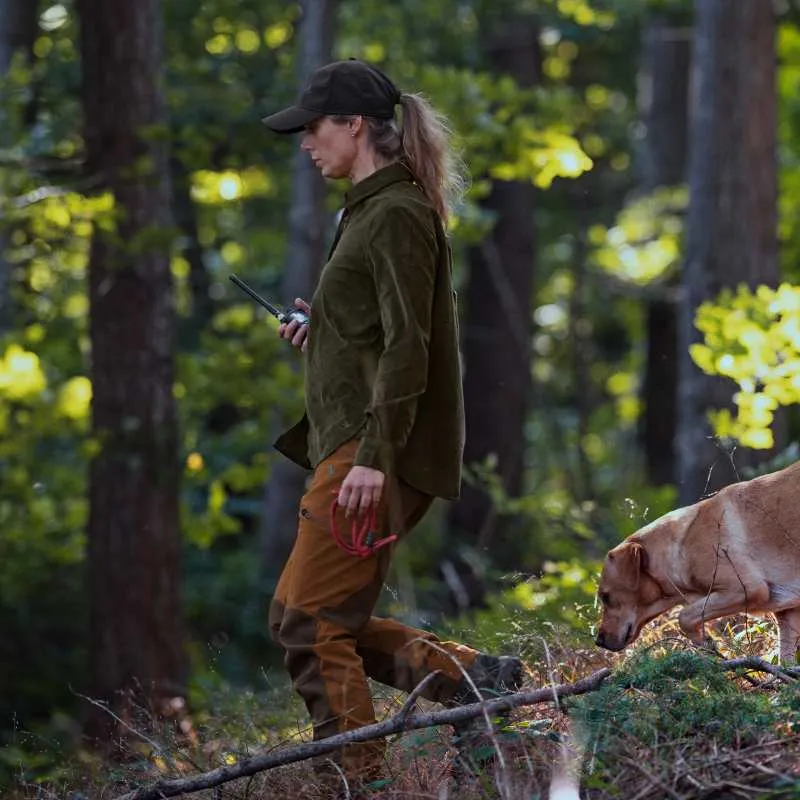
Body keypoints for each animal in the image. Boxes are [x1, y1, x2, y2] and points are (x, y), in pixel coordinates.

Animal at [596, 460, 800, 660]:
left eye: (606, 597)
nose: (599, 641)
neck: (679, 547)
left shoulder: (746, 589)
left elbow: (684, 616)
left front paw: (704, 643)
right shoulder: (788, 614)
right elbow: (785, 662)